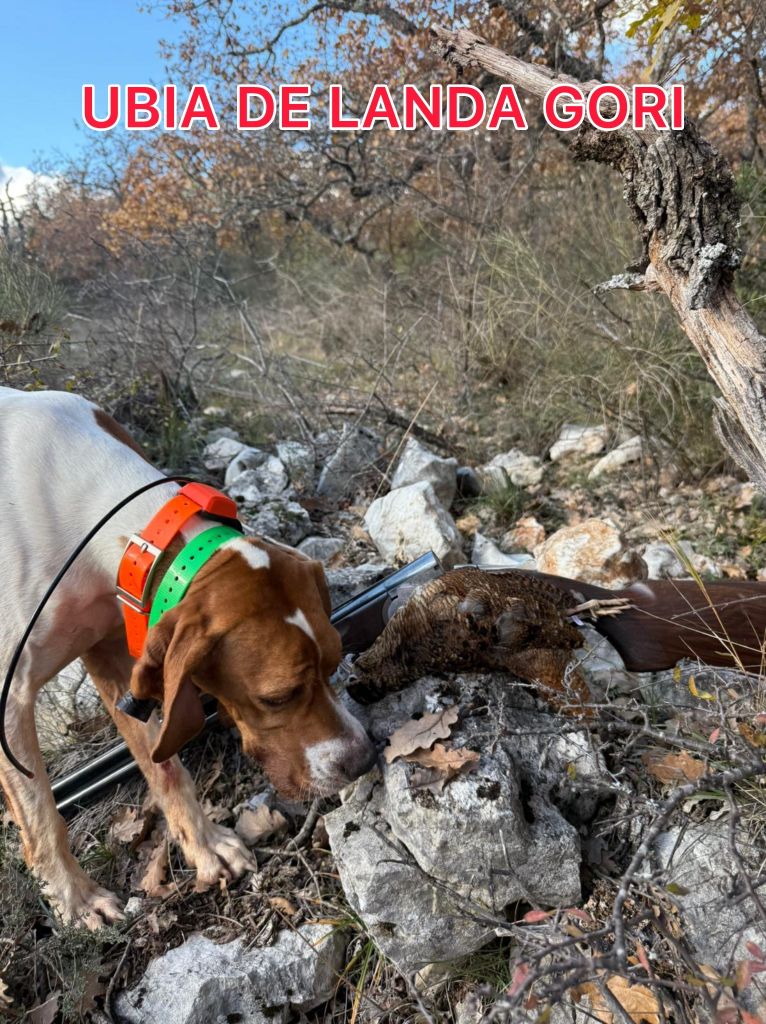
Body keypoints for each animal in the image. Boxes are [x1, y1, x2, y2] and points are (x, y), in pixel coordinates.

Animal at [0, 389, 376, 929]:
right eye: (277, 697)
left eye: (334, 665)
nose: (365, 758)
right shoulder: (9, 702)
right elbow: (42, 816)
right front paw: (76, 898)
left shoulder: (114, 652)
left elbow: (165, 767)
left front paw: (204, 846)